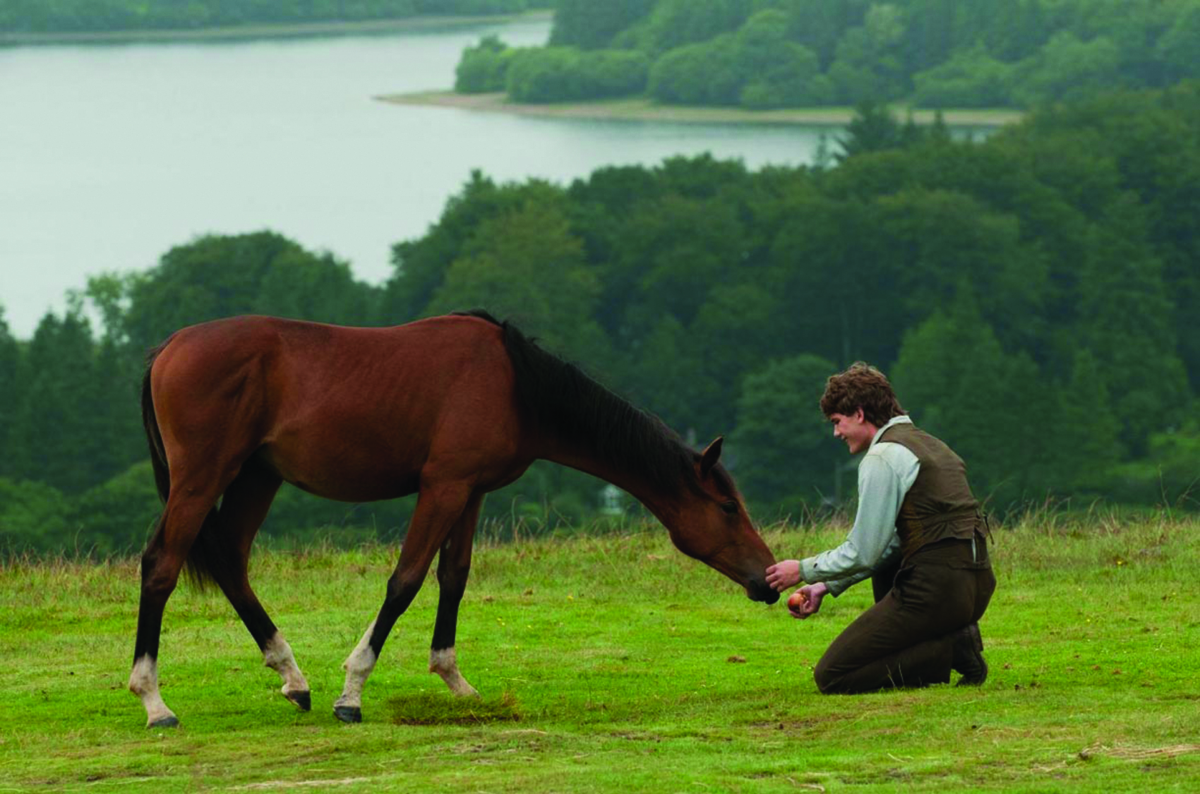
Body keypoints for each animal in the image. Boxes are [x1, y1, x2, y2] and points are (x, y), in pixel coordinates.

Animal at [130, 310, 779, 728]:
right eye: (728, 508)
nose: (769, 579)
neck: (515, 384)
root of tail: (167, 347)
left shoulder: (470, 493)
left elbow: (454, 578)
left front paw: (454, 681)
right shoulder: (442, 488)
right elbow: (405, 581)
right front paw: (353, 691)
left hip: (256, 478)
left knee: (231, 564)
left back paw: (292, 677)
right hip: (203, 477)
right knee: (161, 566)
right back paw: (154, 700)